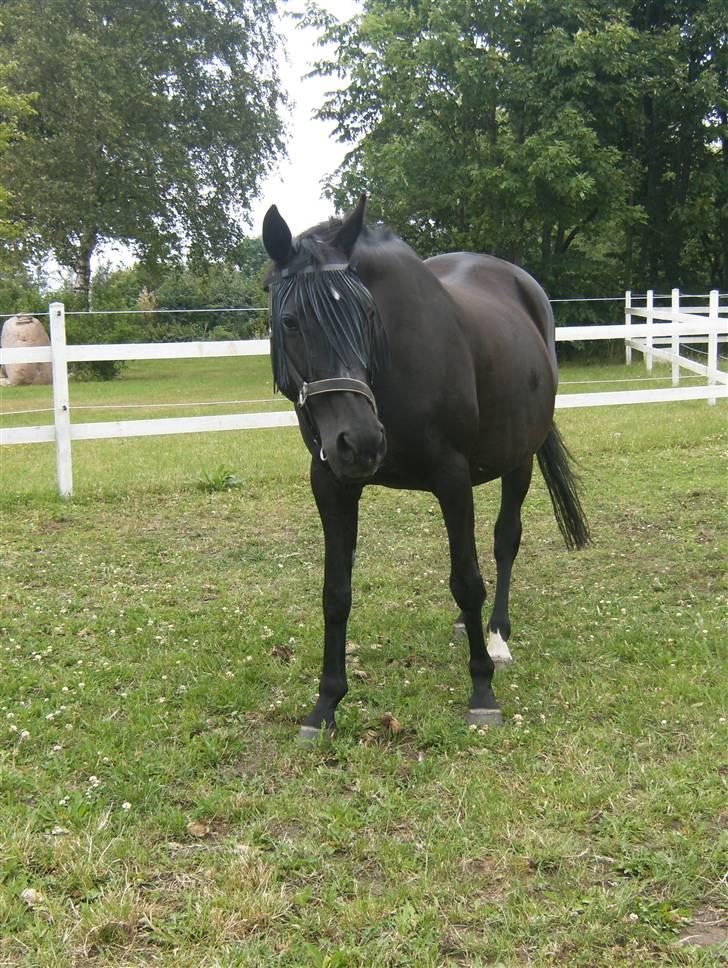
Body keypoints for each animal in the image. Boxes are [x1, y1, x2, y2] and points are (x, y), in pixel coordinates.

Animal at [264, 197, 588, 740]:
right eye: (290, 321)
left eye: (367, 313)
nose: (362, 442)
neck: (390, 368)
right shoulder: (331, 482)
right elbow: (336, 592)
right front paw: (326, 703)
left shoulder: (452, 480)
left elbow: (468, 580)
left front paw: (481, 691)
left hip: (519, 459)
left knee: (505, 541)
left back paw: (496, 635)